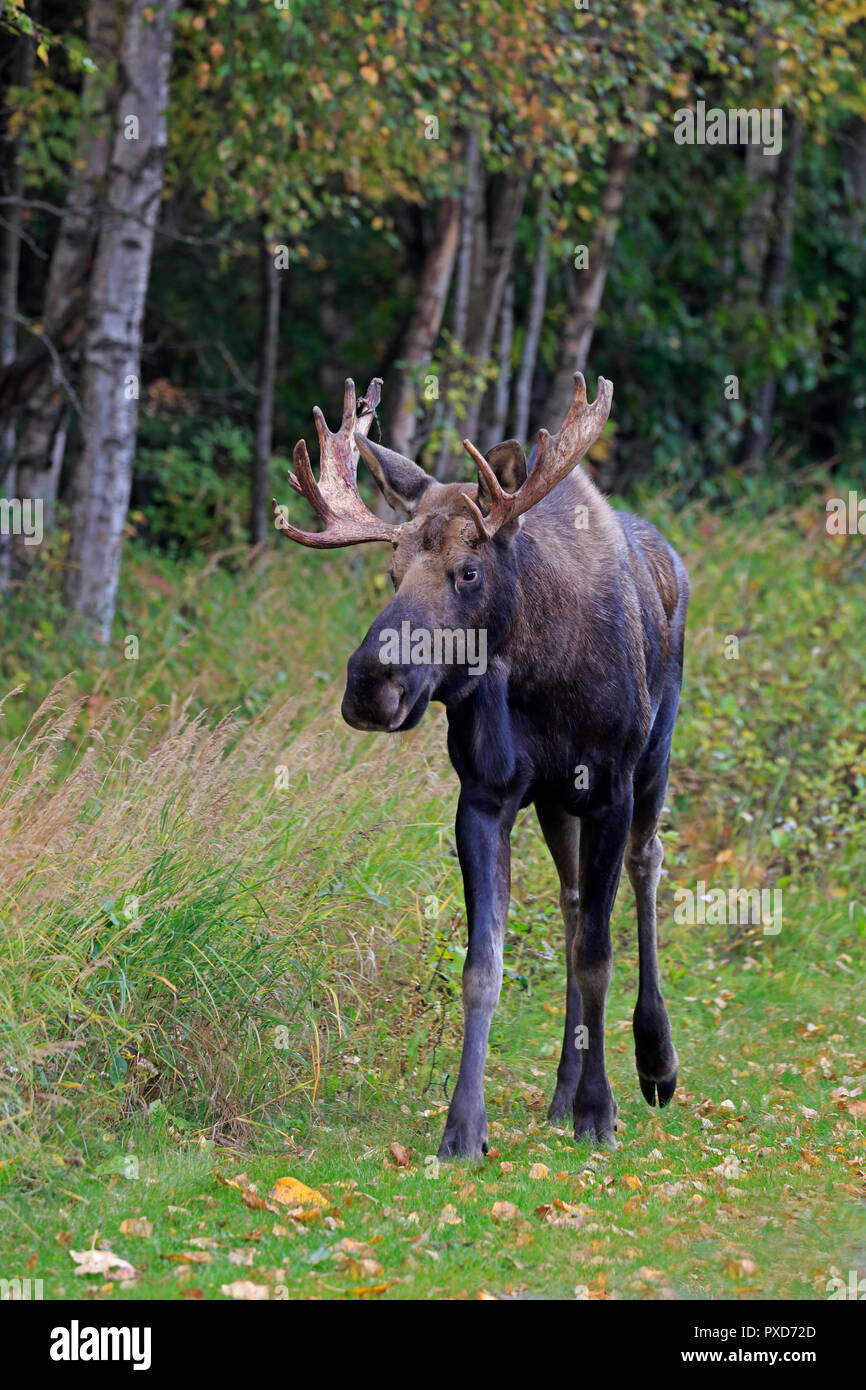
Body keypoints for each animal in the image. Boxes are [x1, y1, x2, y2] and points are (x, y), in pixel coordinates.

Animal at [276, 375, 692, 1156]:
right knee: (570, 905)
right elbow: (484, 966)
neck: (538, 673)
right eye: (392, 572)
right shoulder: (485, 796)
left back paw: (655, 1063)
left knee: (644, 866)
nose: (369, 685)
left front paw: (601, 1110)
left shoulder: (611, 787)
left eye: (467, 571)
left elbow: (599, 953)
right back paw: (561, 1091)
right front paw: (464, 1125)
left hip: (655, 755)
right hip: (557, 802)